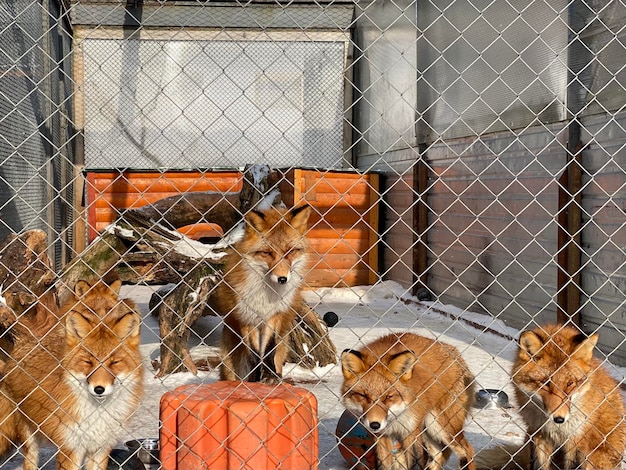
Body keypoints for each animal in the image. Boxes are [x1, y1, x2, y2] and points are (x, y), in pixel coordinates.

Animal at [0, 280, 143, 470]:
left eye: (114, 363)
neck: (96, 411)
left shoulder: (101, 448)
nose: (99, 389)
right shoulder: (70, 448)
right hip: (29, 437)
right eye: (88, 362)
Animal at [216, 204, 310, 384]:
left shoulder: (273, 316)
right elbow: (253, 354)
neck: (266, 296)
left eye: (290, 252)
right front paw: (254, 380)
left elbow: (268, 349)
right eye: (267, 253)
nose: (282, 279)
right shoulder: (247, 317)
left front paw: (270, 375)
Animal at [338, 332, 476, 470]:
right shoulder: (382, 435)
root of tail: (457, 355)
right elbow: (385, 465)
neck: (396, 417)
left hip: (442, 427)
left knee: (468, 450)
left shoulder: (411, 431)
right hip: (429, 432)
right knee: (439, 455)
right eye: (362, 395)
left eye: (388, 397)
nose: (375, 425)